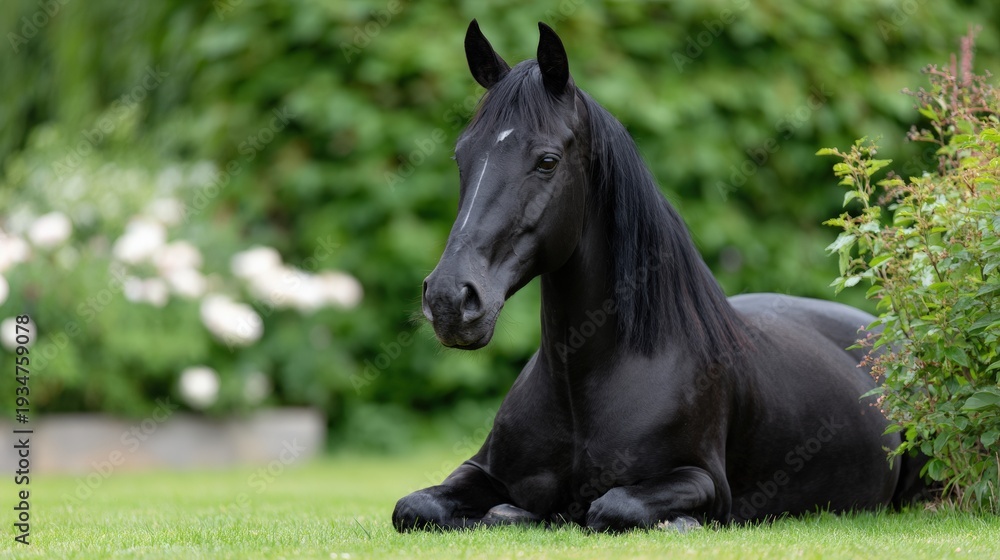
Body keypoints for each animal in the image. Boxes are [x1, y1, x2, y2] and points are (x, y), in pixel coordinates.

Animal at [393, 20, 927, 532]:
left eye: (546, 161)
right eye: (461, 156)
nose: (449, 299)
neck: (587, 378)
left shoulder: (702, 480)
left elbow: (614, 507)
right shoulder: (480, 469)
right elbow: (415, 507)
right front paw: (507, 512)